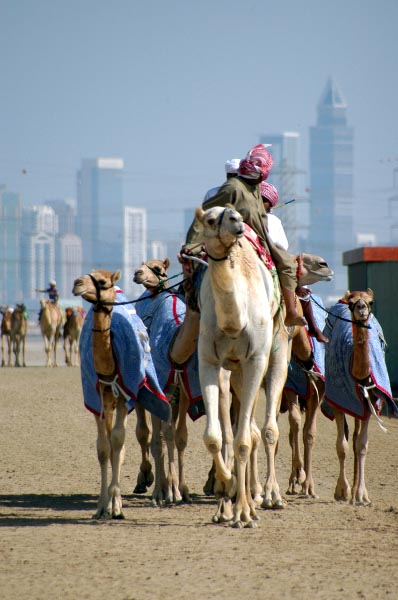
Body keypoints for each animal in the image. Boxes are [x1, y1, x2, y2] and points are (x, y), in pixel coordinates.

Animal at [72, 270, 170, 516]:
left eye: (102, 281)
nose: (77, 283)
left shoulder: (125, 395)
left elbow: (117, 439)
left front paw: (115, 504)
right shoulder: (97, 397)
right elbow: (103, 447)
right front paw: (101, 504)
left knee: (134, 434)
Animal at [134, 255, 202, 504]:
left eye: (158, 268)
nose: (137, 273)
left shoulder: (183, 391)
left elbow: (179, 436)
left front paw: (181, 489)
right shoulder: (159, 386)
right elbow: (157, 439)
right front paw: (162, 492)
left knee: (166, 432)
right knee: (144, 433)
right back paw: (145, 480)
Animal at [322, 288, 398, 504]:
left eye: (370, 302)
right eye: (351, 303)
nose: (362, 308)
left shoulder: (369, 403)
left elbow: (362, 445)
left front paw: (362, 495)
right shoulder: (338, 401)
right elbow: (342, 446)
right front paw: (342, 491)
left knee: (357, 438)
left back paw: (357, 489)